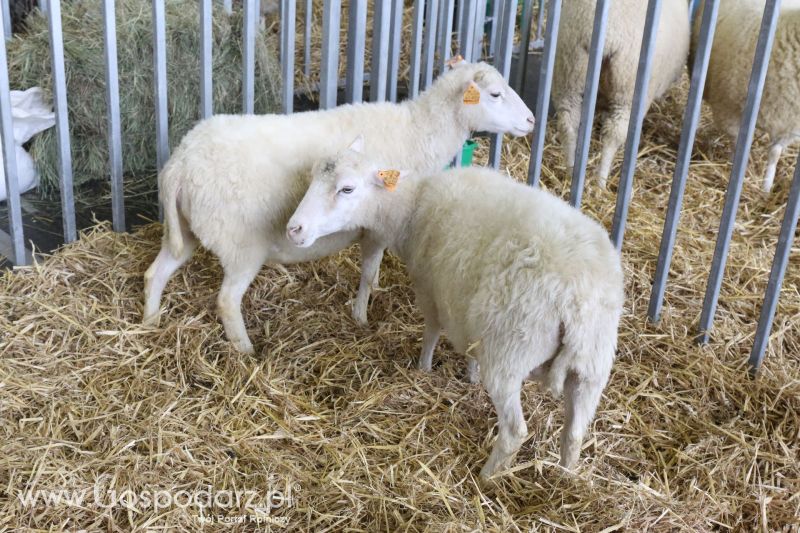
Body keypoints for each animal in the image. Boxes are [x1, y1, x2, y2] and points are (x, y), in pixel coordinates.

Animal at [144, 60, 536, 354]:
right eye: (495, 94)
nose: (532, 120)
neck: (419, 132)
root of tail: (180, 163)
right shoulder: (378, 225)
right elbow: (367, 272)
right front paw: (361, 317)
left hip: (187, 229)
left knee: (155, 273)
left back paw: (150, 321)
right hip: (241, 244)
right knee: (226, 301)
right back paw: (246, 351)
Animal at [552, 0, 692, 187]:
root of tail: (607, 36)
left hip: (568, 71)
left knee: (568, 124)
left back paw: (570, 171)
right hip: (627, 88)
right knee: (614, 134)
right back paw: (600, 181)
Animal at [692, 0, 800, 191]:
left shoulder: (789, 127)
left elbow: (774, 154)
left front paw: (766, 188)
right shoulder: (730, 111)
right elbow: (738, 146)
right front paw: (733, 170)